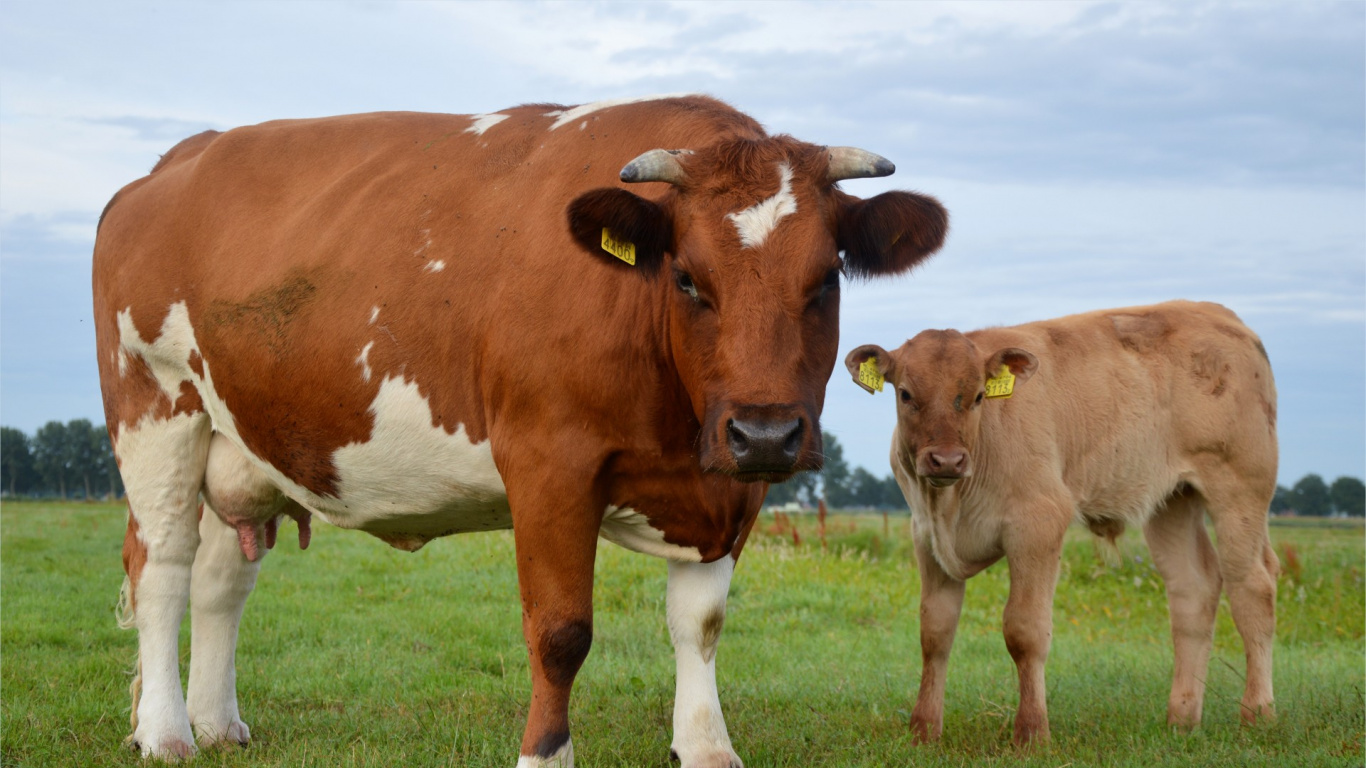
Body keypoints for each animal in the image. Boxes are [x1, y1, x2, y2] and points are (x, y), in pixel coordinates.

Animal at [92, 95, 949, 765]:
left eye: (827, 278)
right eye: (686, 278)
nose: (766, 433)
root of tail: (171, 164)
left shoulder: (727, 489)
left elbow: (700, 624)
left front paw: (707, 747)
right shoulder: (548, 464)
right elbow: (560, 631)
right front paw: (545, 754)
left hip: (238, 443)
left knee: (220, 580)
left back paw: (216, 724)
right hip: (156, 410)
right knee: (163, 569)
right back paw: (166, 732)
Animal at [845, 300, 1278, 746]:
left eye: (980, 396)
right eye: (905, 394)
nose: (947, 460)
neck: (951, 502)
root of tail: (1217, 312)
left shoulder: (1039, 524)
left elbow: (1025, 631)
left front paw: (1032, 733)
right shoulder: (927, 536)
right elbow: (935, 631)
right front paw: (924, 730)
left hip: (1239, 490)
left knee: (1253, 590)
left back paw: (1257, 714)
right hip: (1171, 501)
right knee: (1193, 591)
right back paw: (1182, 717)